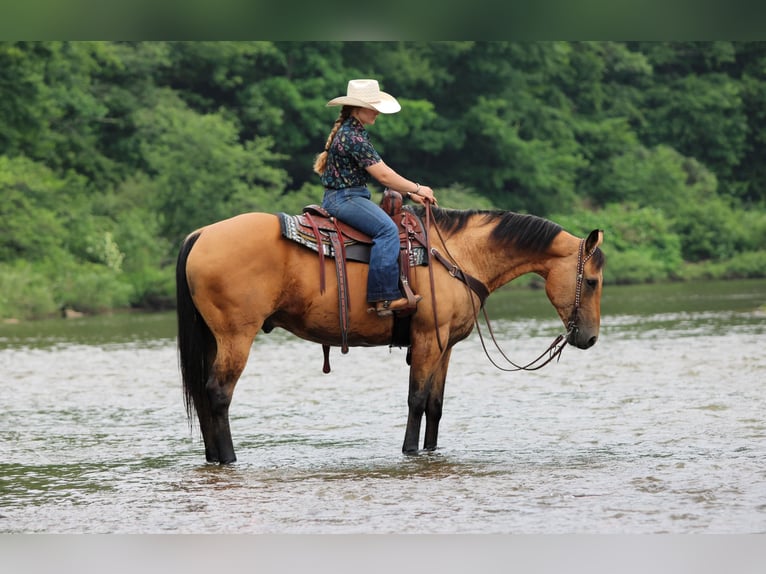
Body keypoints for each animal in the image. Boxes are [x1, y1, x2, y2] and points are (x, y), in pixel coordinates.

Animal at [176, 204, 605, 464]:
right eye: (594, 281)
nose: (589, 338)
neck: (458, 257)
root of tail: (201, 234)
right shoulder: (428, 338)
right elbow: (416, 399)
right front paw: (410, 450)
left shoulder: (445, 345)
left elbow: (435, 404)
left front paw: (430, 451)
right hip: (236, 336)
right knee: (218, 393)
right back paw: (229, 457)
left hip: (213, 337)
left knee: (204, 392)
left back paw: (213, 458)